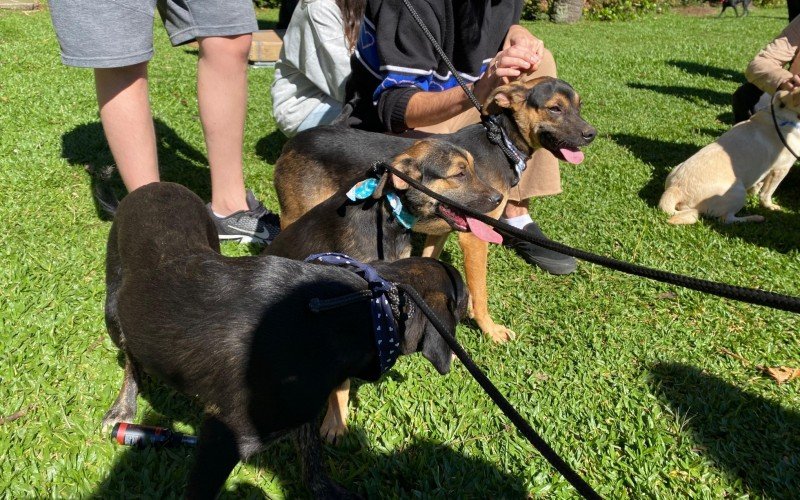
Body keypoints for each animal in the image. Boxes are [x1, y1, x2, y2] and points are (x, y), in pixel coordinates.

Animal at [103, 181, 472, 496]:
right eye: (462, 296)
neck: (367, 309)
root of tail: (152, 185)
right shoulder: (222, 437)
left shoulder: (302, 411)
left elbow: (312, 457)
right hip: (114, 313)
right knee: (131, 361)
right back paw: (124, 406)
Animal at [656, 88, 800, 225]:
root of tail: (675, 189)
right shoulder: (780, 169)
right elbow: (767, 193)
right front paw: (770, 206)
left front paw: (755, 190)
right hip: (737, 191)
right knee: (726, 219)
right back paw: (754, 218)